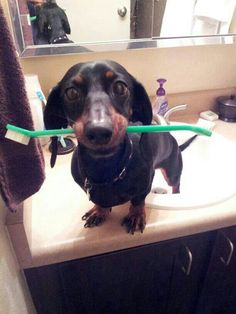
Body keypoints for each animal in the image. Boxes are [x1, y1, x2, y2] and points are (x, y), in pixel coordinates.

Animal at [43, 60, 194, 233]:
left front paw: (136, 215)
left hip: (172, 171)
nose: (99, 131)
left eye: (120, 87)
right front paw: (99, 211)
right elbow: (100, 203)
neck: (105, 170)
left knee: (175, 184)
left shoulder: (146, 183)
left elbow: (138, 200)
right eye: (72, 92)